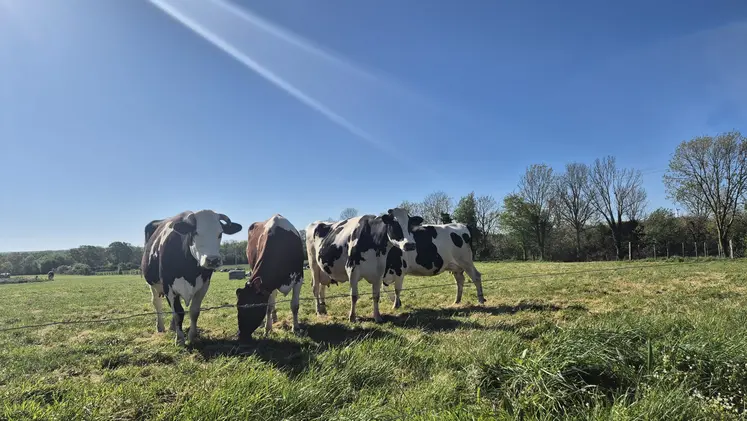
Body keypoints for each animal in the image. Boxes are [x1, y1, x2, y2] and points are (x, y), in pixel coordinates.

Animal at [141, 210, 242, 345]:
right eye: (195, 232)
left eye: (220, 233)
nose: (213, 260)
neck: (189, 270)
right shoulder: (168, 286)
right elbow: (178, 312)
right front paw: (179, 339)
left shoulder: (204, 286)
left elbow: (194, 311)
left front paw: (192, 336)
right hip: (152, 284)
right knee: (157, 302)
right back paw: (160, 327)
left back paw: (173, 327)